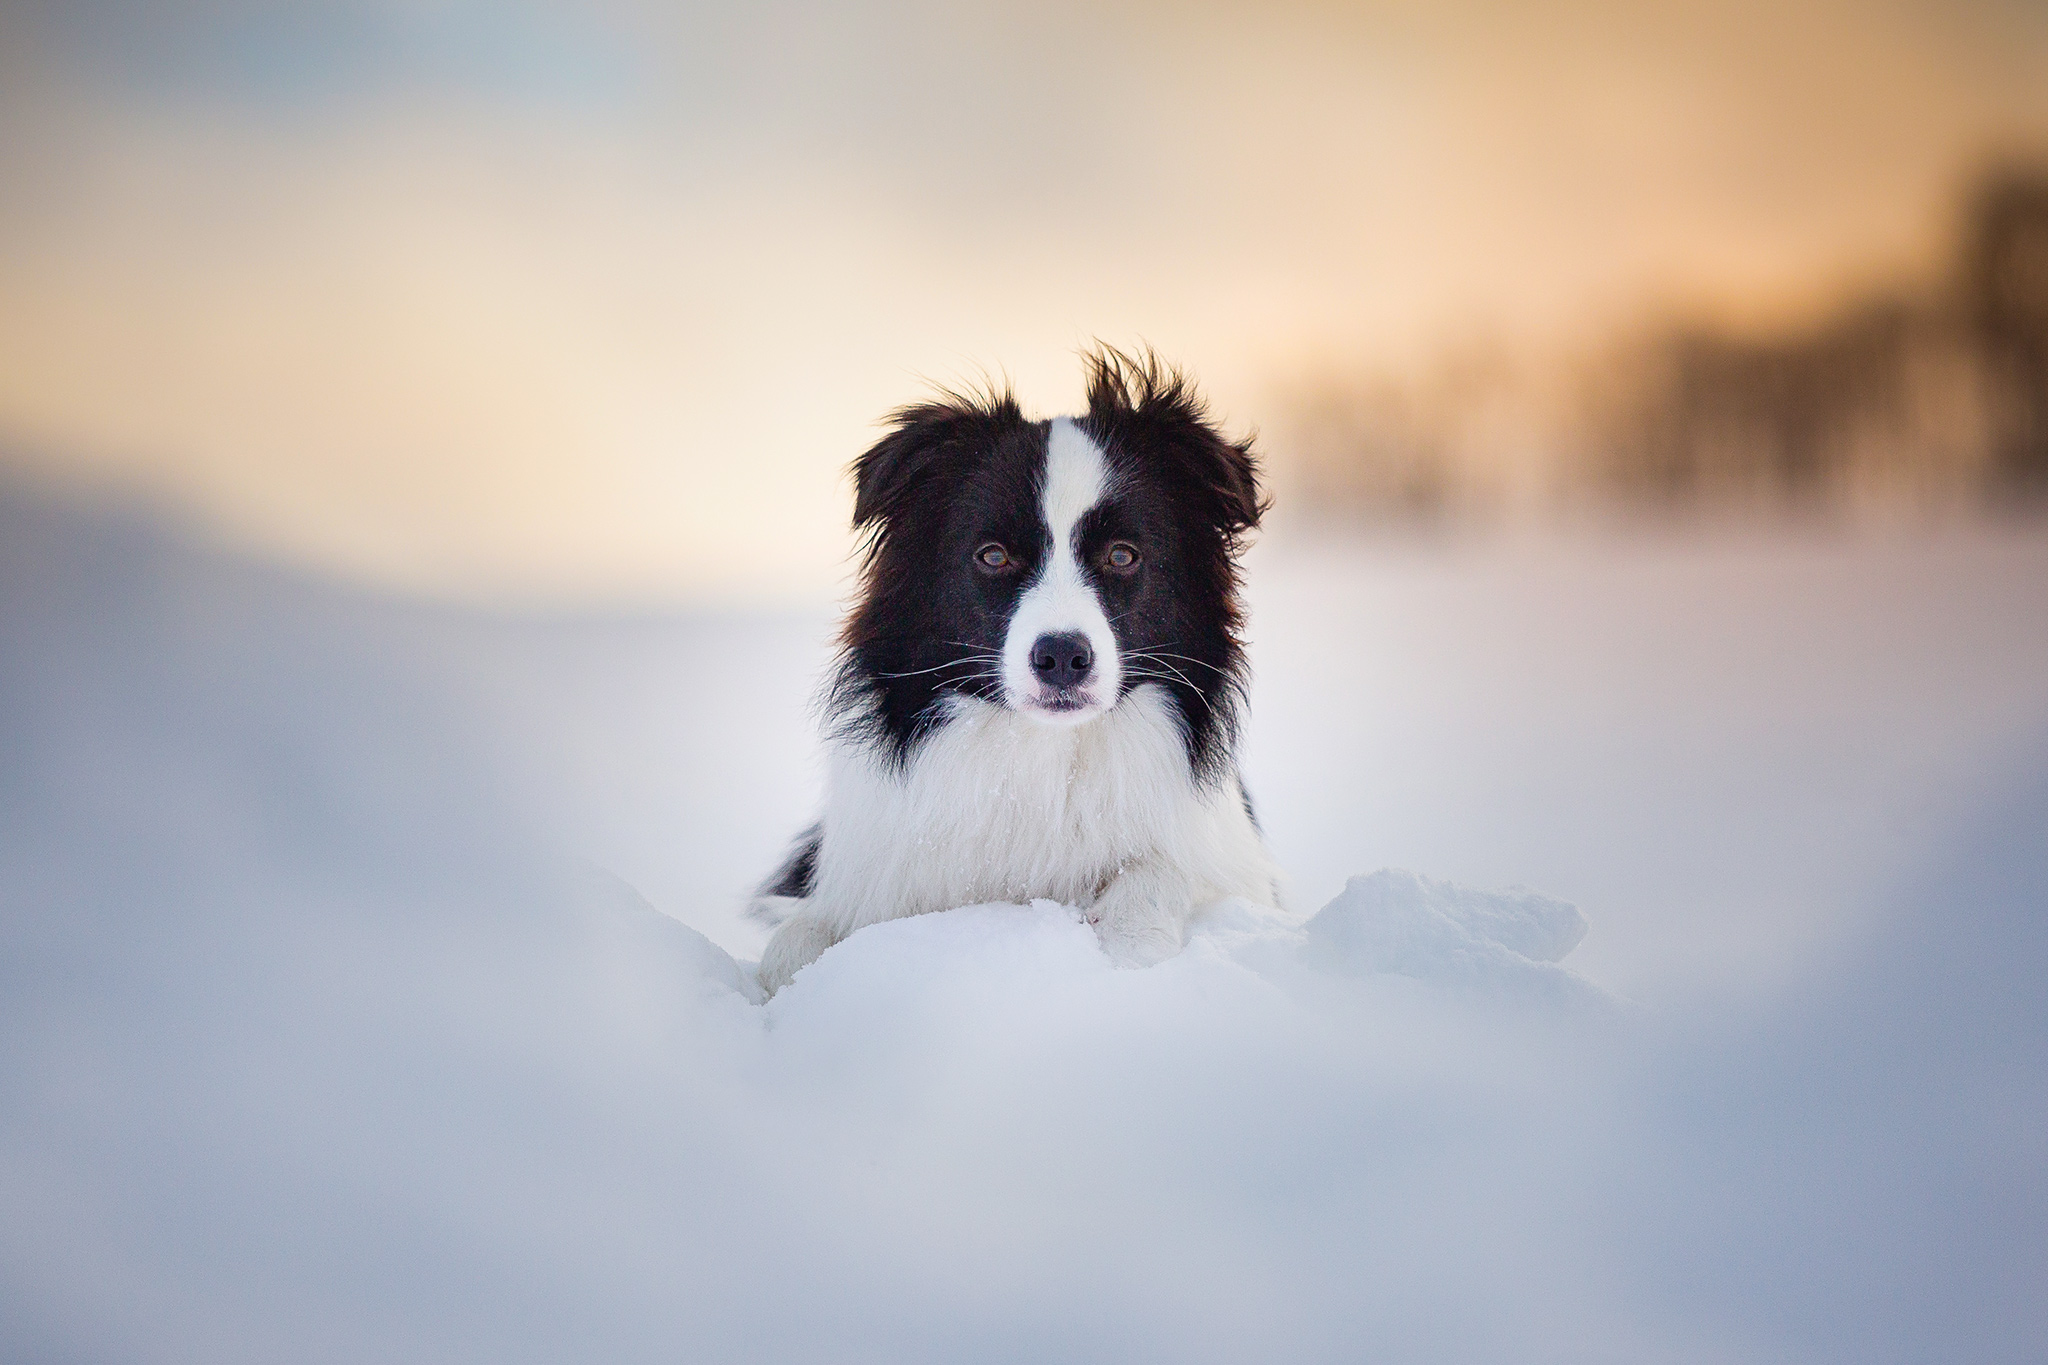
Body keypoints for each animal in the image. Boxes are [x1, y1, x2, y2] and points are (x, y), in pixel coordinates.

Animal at [753, 349, 1269, 994]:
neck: (1042, 756)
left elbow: (1160, 876)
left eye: (1122, 555)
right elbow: (792, 945)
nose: (1063, 657)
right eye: (993, 555)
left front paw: (1126, 947)